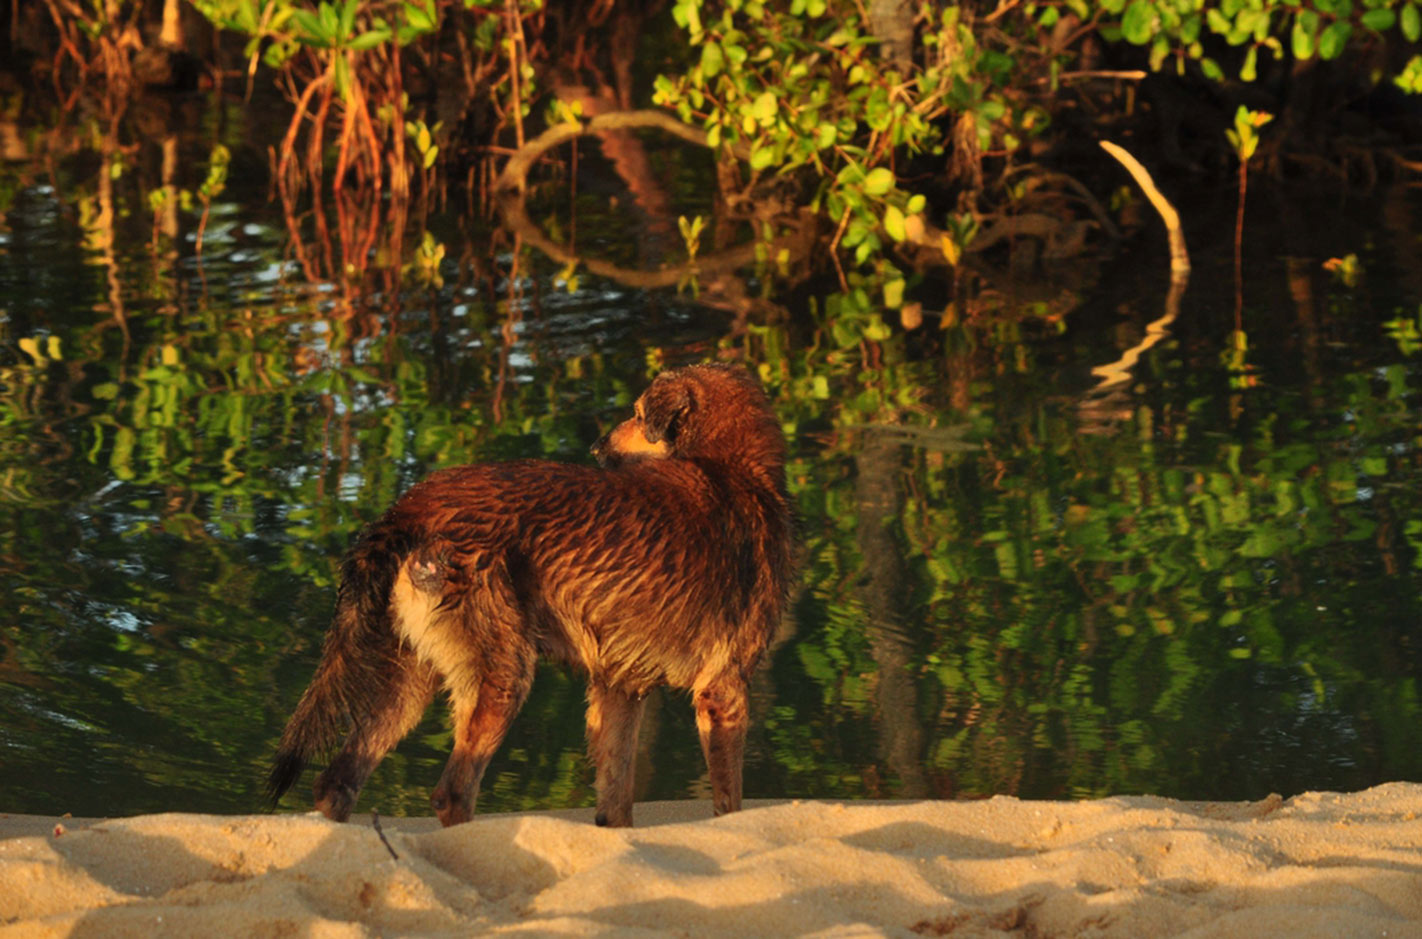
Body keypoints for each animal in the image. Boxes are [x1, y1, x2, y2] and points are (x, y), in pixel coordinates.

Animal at [268, 362, 802, 825]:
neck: (733, 469)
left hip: (410, 680)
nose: (595, 448)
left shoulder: (619, 690)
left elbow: (615, 804)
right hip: (502, 675)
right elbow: (729, 804)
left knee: (337, 783)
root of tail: (412, 507)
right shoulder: (722, 690)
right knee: (451, 793)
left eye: (635, 413)